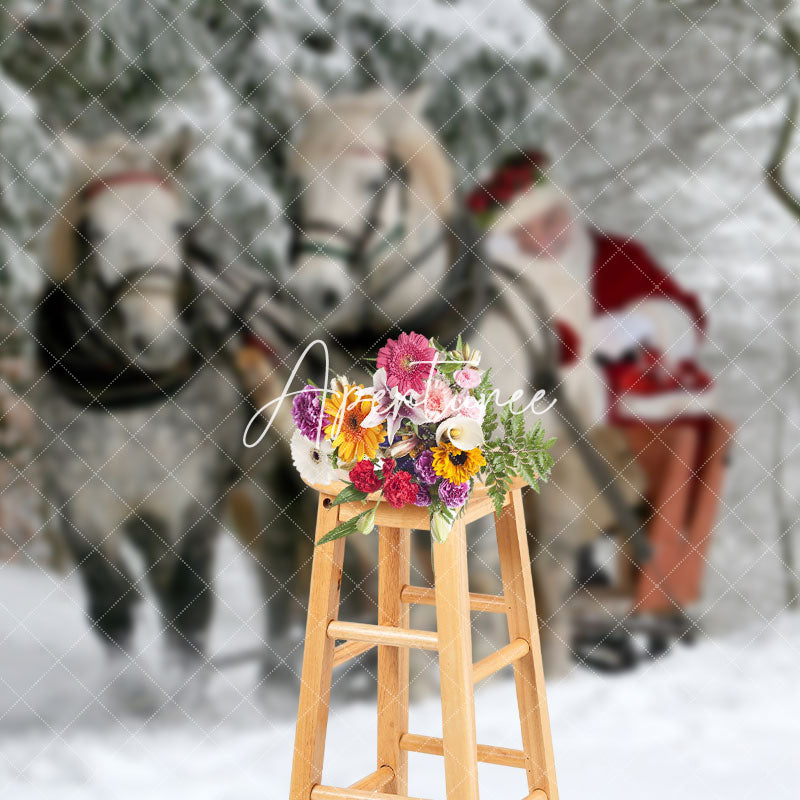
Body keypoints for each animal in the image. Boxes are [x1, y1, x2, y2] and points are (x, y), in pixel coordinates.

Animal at [32, 131, 250, 709]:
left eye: (179, 227)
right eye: (91, 231)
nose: (157, 339)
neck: (127, 394)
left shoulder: (193, 496)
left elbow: (189, 597)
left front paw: (185, 699)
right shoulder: (81, 505)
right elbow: (110, 603)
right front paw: (130, 696)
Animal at [285, 81, 621, 676]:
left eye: (375, 181)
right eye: (299, 181)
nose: (311, 289)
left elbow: (477, 569)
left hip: (558, 464)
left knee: (548, 564)